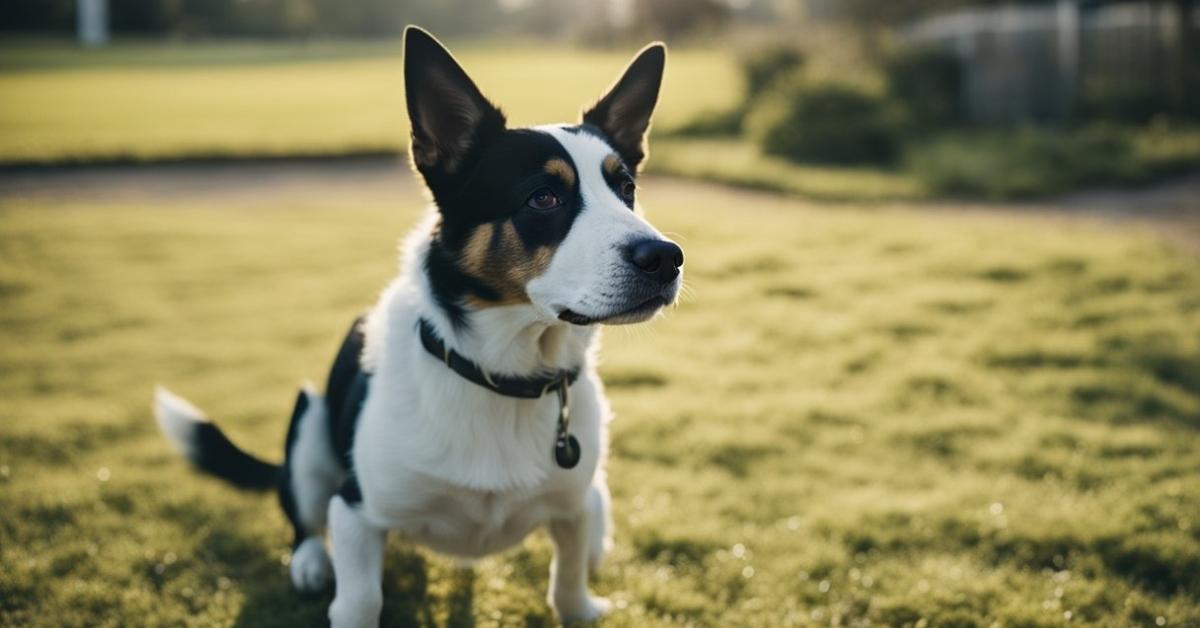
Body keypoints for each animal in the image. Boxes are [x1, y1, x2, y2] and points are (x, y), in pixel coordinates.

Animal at [153, 25, 686, 628]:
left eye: (627, 190)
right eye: (544, 197)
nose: (666, 258)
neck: (503, 376)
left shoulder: (572, 507)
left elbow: (569, 583)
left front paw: (578, 601)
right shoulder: (355, 510)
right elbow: (361, 599)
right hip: (309, 425)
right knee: (302, 515)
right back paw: (310, 561)